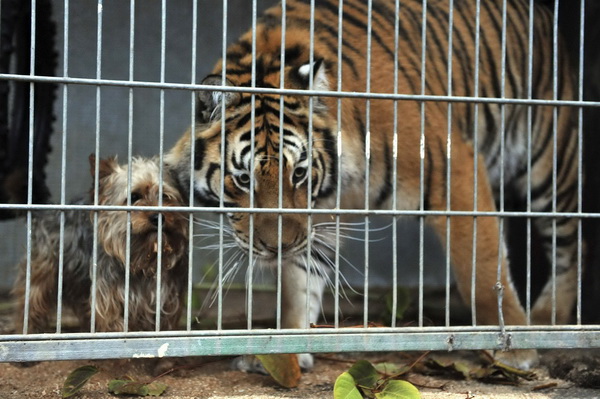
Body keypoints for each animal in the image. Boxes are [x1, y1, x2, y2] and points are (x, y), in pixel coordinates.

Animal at [166, 0, 580, 372]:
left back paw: (547, 318)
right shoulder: (316, 218)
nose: (276, 247)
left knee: (573, 244)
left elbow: (482, 266)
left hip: (550, 160)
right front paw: (284, 351)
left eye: (297, 174)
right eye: (244, 180)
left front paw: (514, 346)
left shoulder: (455, 170)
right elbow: (299, 283)